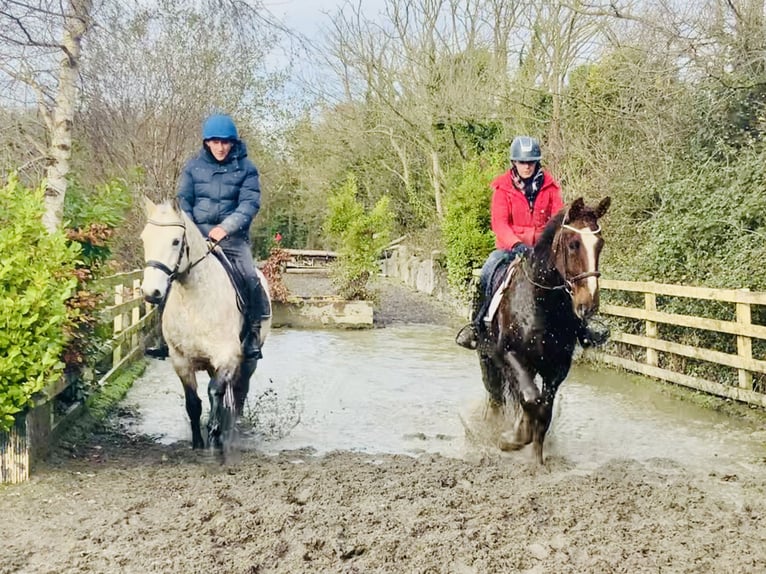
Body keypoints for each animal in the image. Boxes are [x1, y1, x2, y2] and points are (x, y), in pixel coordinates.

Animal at [480, 197, 612, 464]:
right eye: (573, 245)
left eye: (600, 245)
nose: (589, 304)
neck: (541, 304)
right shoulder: (510, 353)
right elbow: (531, 399)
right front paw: (514, 439)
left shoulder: (557, 368)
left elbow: (544, 412)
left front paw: (537, 461)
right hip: (489, 359)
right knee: (497, 395)